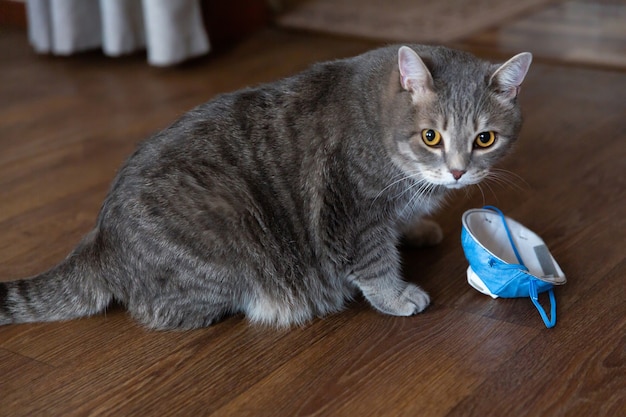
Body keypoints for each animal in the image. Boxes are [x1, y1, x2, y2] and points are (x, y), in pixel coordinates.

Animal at [0, 45, 532, 330]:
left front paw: (418, 229)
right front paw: (397, 295)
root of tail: (101, 238)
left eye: (484, 139)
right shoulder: (352, 214)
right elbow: (374, 263)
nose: (459, 172)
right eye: (431, 137)